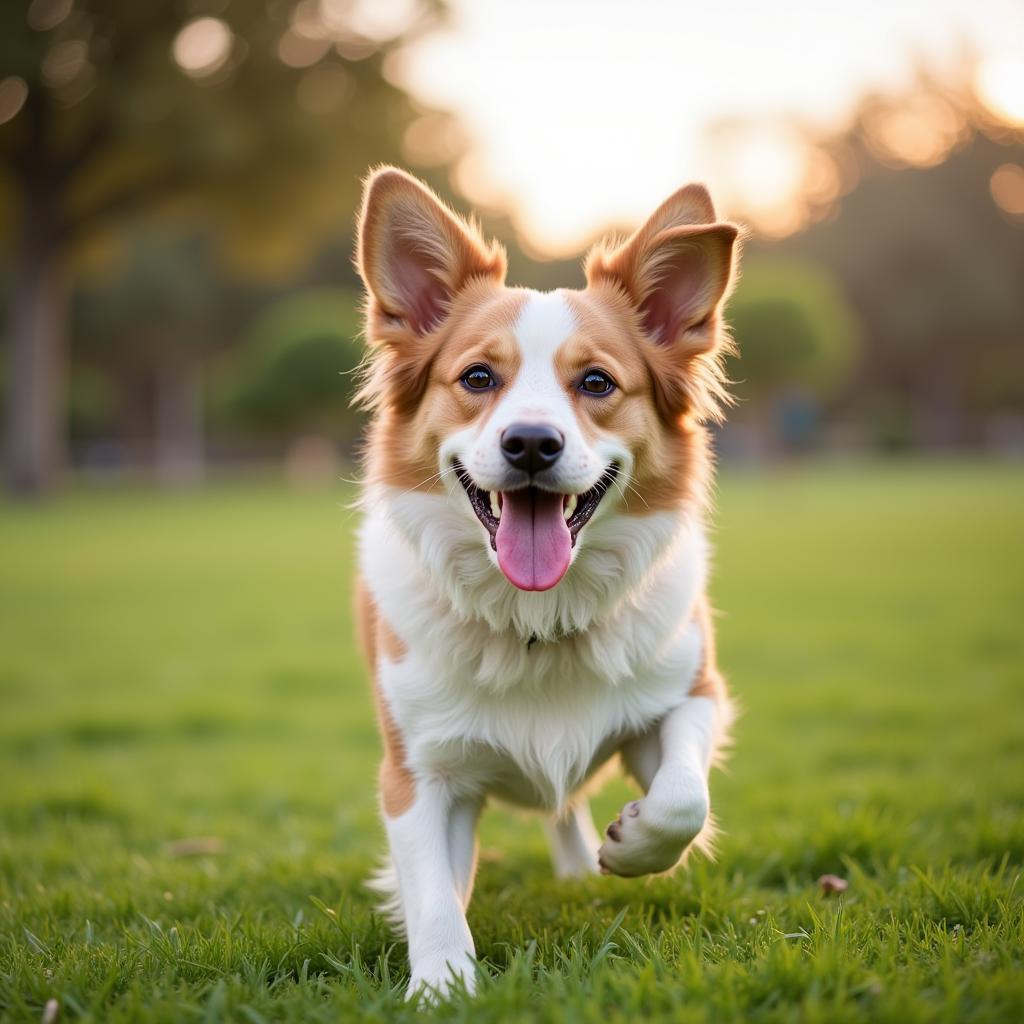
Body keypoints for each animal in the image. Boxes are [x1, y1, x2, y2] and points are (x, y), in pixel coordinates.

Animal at [352, 167, 737, 999]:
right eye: (477, 377)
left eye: (596, 382)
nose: (531, 443)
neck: (538, 617)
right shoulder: (417, 770)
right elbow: (433, 889)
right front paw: (441, 986)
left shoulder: (693, 694)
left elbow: (684, 798)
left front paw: (631, 845)